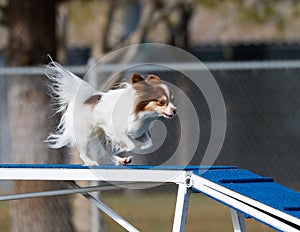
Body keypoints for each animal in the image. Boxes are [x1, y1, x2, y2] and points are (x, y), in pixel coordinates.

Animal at [45, 61, 177, 165]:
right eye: (162, 102)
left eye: (172, 100)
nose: (175, 110)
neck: (142, 113)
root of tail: (81, 99)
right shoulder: (117, 130)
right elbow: (131, 144)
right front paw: (125, 147)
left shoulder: (140, 131)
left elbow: (149, 144)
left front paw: (139, 148)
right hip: (85, 134)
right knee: (83, 152)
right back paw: (91, 162)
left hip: (101, 135)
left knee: (107, 151)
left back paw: (121, 160)